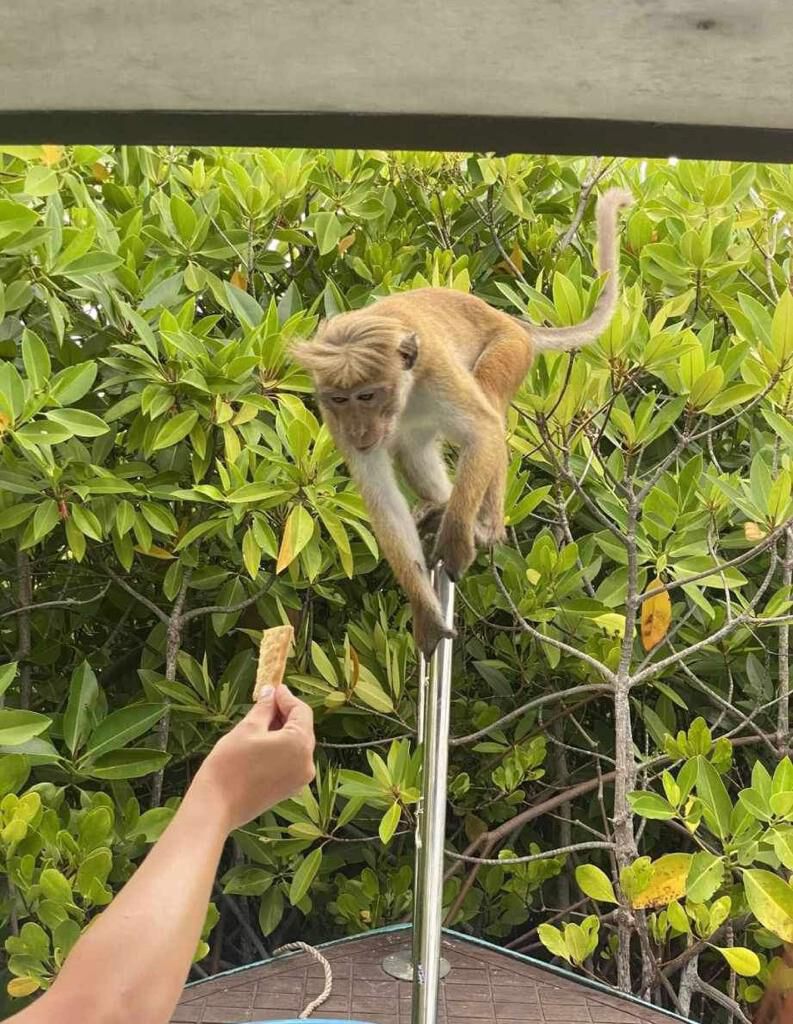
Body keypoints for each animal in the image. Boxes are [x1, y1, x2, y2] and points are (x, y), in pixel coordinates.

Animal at [293, 187, 632, 658]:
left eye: (367, 395)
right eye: (340, 399)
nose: (359, 431)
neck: (403, 392)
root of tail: (509, 319)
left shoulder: (436, 368)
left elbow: (482, 430)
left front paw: (456, 540)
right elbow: (382, 500)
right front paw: (425, 609)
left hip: (511, 349)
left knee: (488, 403)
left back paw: (484, 524)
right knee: (411, 445)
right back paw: (438, 503)